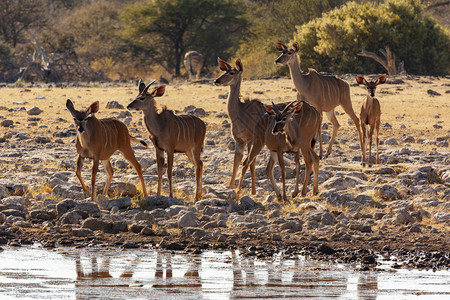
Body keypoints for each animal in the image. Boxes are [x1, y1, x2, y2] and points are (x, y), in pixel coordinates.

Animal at [214, 58, 290, 195]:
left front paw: (246, 190)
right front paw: (231, 187)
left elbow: (249, 164)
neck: (240, 112)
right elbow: (237, 163)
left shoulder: (251, 140)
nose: (216, 81)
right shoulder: (239, 141)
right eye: (224, 71)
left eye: (232, 72)